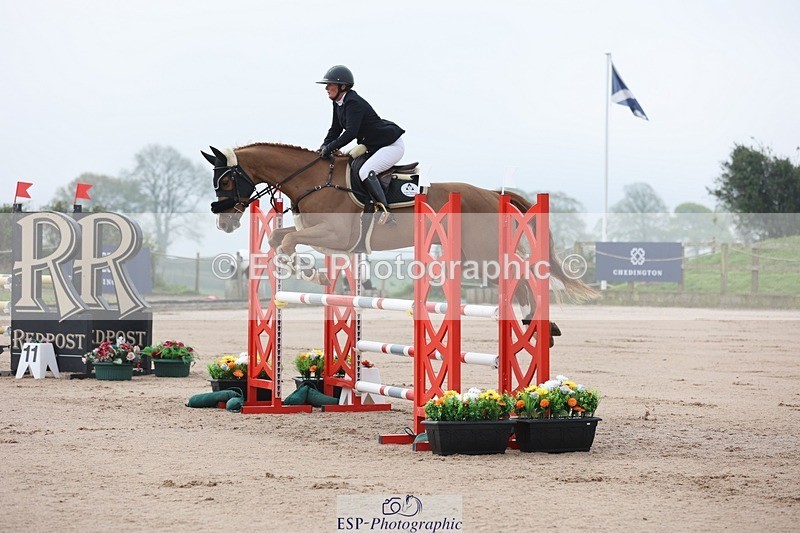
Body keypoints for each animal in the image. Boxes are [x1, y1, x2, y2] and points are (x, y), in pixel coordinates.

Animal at [202, 143, 596, 339]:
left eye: (226, 180)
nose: (223, 222)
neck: (313, 179)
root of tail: (489, 193)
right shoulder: (326, 239)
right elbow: (276, 238)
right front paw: (315, 273)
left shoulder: (334, 234)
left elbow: (285, 244)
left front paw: (314, 275)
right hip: (474, 257)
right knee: (519, 279)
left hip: (483, 256)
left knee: (522, 277)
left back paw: (539, 326)